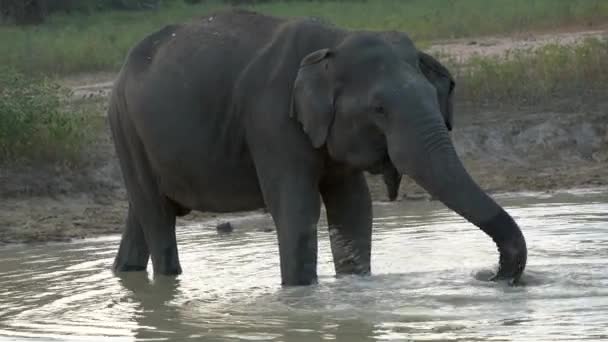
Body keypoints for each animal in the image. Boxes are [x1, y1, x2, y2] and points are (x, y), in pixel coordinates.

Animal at [109, 8, 528, 286]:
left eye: (431, 95)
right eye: (379, 109)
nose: (490, 275)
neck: (334, 41)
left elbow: (354, 207)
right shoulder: (271, 120)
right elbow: (296, 208)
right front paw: (300, 296)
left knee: (143, 214)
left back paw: (126, 273)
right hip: (125, 126)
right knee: (156, 218)